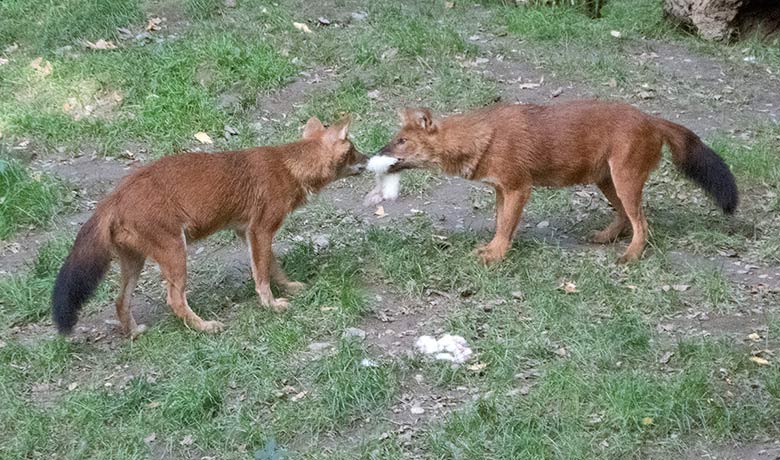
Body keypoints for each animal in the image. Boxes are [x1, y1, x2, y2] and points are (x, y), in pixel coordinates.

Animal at [52, 117, 368, 336]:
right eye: (354, 150)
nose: (369, 157)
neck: (288, 165)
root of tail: (113, 197)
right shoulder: (261, 230)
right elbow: (262, 275)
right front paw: (271, 305)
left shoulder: (246, 231)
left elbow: (273, 266)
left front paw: (289, 287)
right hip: (175, 251)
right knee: (174, 300)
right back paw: (205, 327)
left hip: (135, 261)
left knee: (120, 301)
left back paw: (134, 333)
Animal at [380, 100, 736, 266]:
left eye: (401, 141)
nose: (377, 152)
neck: (480, 137)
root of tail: (653, 118)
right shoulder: (501, 189)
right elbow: (500, 223)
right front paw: (492, 247)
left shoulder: (519, 187)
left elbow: (505, 226)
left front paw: (495, 256)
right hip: (606, 181)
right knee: (625, 216)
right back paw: (605, 237)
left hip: (624, 178)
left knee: (642, 223)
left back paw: (631, 255)